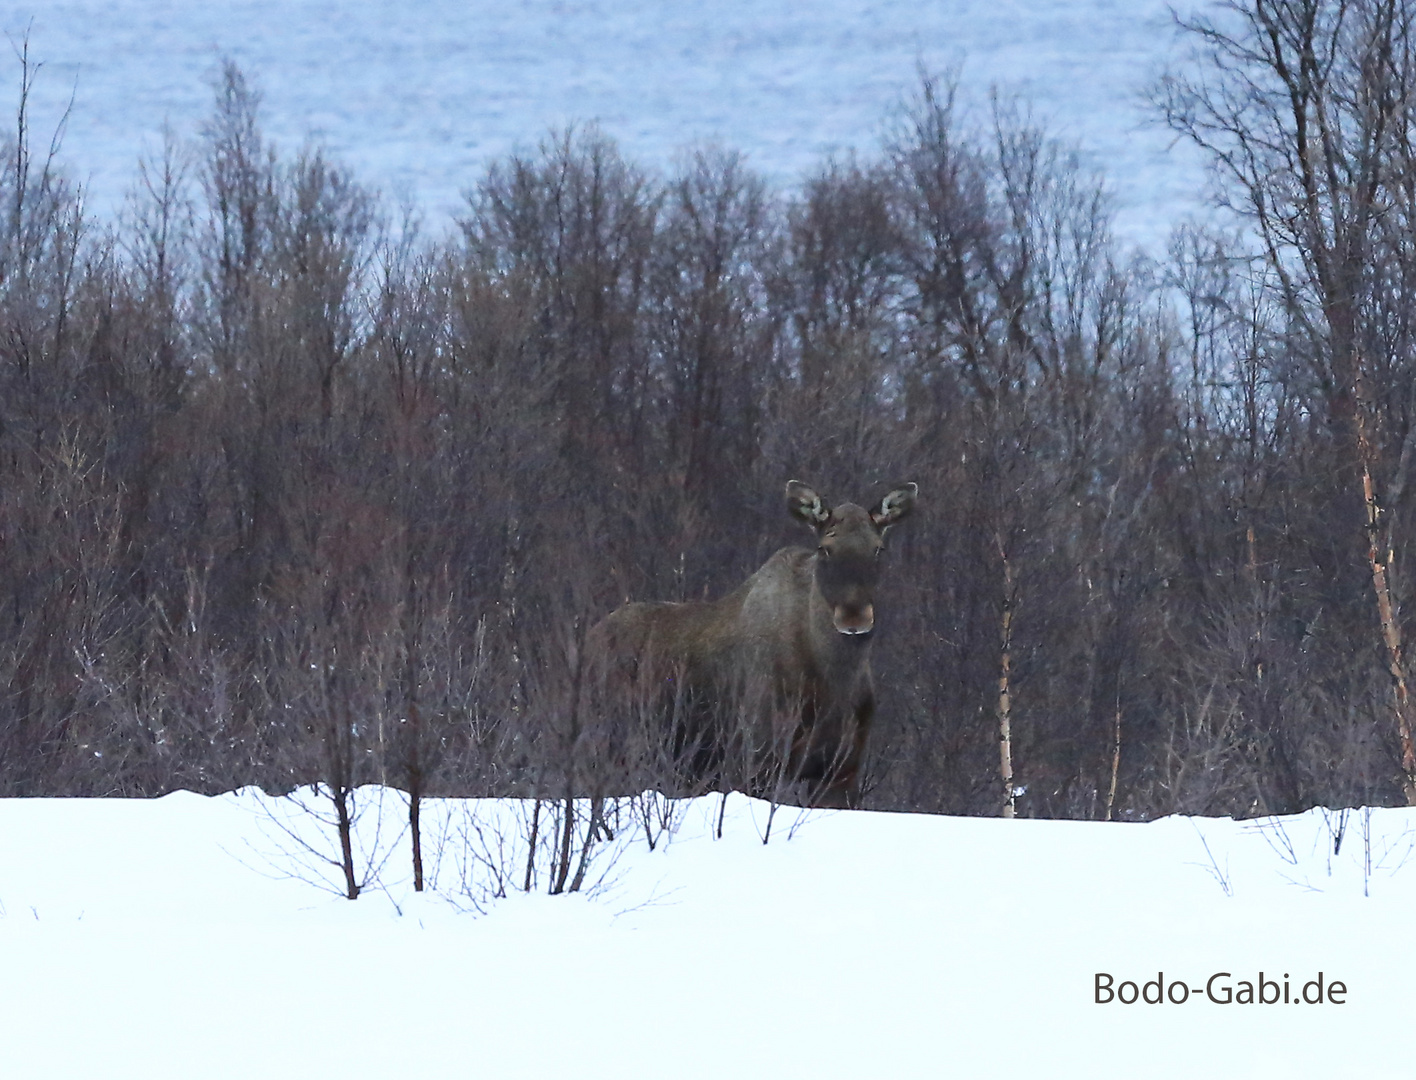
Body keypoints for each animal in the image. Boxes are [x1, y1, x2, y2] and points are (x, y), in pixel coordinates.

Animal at [589, 481, 917, 809]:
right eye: (825, 548)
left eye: (878, 548)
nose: (854, 615)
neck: (835, 680)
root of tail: (593, 636)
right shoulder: (755, 760)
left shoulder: (841, 772)